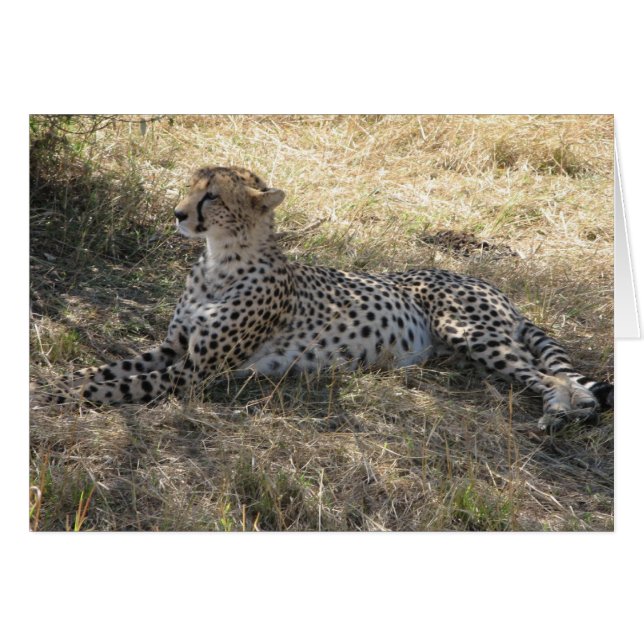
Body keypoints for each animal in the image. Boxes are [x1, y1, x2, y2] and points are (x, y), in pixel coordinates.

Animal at [35, 165, 614, 431]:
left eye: (211, 196)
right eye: (189, 187)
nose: (178, 215)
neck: (220, 260)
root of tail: (492, 285)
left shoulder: (195, 371)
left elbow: (118, 386)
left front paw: (55, 398)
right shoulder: (174, 348)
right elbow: (107, 368)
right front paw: (54, 382)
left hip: (469, 330)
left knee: (553, 379)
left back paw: (558, 415)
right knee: (562, 379)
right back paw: (569, 412)